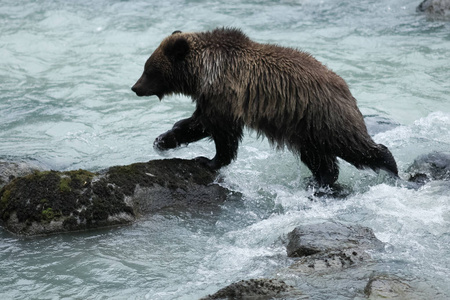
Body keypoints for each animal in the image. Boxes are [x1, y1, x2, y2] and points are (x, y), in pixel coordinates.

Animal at [131, 28, 398, 188]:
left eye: (149, 69)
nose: (135, 87)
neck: (202, 73)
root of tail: (344, 86)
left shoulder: (225, 93)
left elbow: (220, 132)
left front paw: (208, 160)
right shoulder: (212, 96)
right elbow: (199, 123)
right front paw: (163, 140)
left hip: (325, 115)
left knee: (354, 146)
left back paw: (391, 167)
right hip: (305, 126)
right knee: (316, 156)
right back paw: (320, 180)